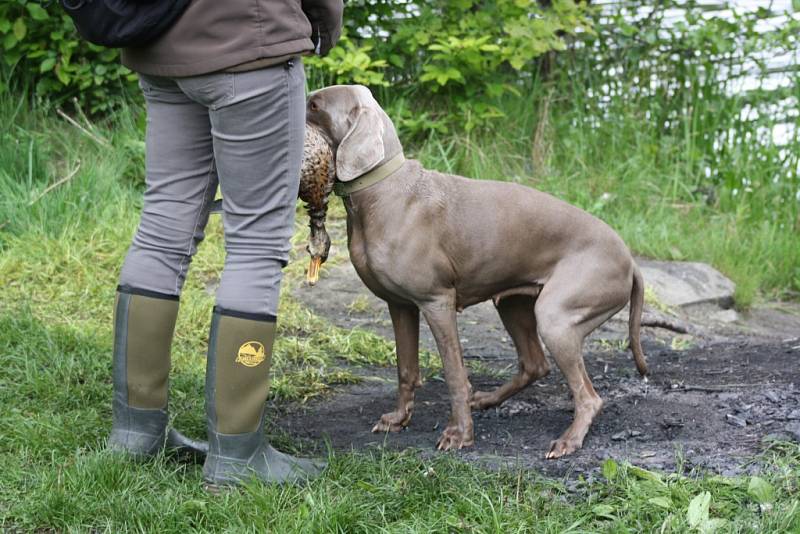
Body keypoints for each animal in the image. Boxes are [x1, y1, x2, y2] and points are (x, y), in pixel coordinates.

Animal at [304, 86, 648, 458]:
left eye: (314, 105)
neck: (381, 194)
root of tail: (630, 259)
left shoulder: (436, 301)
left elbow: (454, 373)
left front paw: (460, 435)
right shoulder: (401, 305)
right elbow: (406, 368)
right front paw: (398, 419)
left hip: (557, 316)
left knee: (589, 396)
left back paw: (569, 440)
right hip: (512, 304)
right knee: (535, 364)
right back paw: (487, 399)